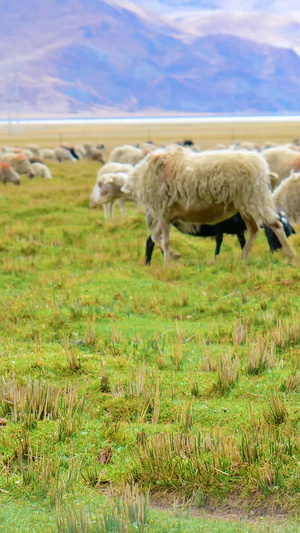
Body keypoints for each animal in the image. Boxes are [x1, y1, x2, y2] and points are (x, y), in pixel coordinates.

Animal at [121, 148, 296, 264]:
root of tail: (261, 164)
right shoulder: (163, 214)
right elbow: (155, 238)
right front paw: (173, 256)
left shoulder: (163, 212)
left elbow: (163, 240)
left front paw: (167, 264)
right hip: (245, 205)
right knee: (254, 229)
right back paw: (242, 259)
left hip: (255, 199)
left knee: (276, 225)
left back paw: (291, 256)